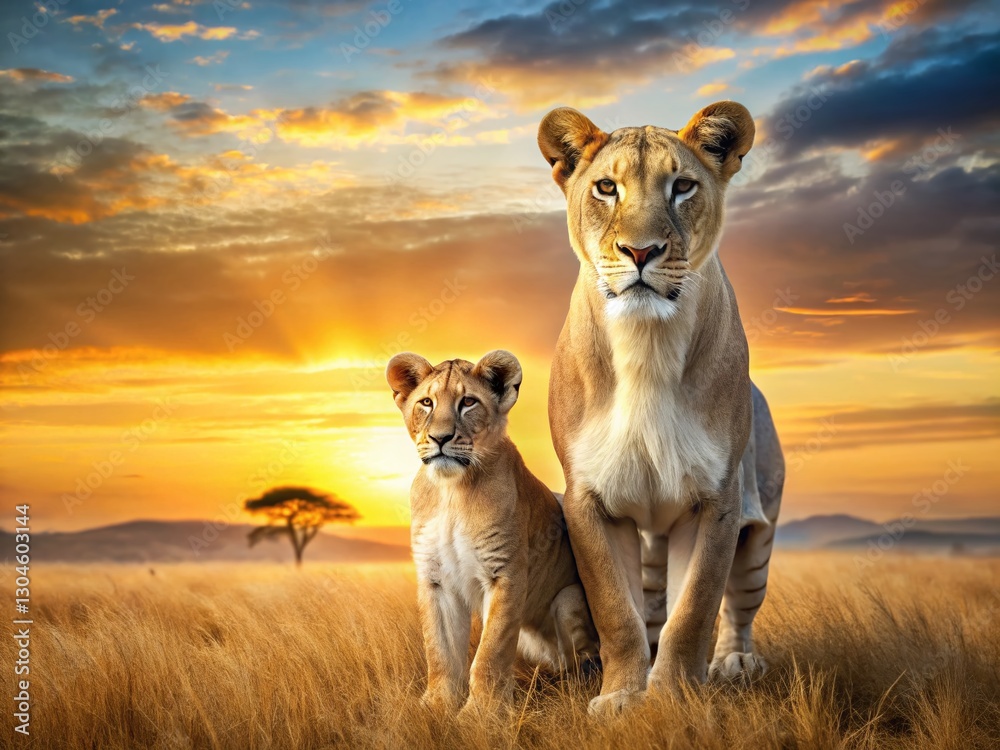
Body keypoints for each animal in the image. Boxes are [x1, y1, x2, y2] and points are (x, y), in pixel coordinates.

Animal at [386, 350, 598, 713]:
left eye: (468, 402)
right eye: (426, 403)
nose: (440, 438)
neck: (451, 491)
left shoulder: (505, 574)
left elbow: (490, 652)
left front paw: (481, 714)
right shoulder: (435, 579)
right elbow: (439, 650)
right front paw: (437, 706)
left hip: (568, 600)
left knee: (581, 662)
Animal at [536, 102, 784, 713]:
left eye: (683, 187)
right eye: (606, 187)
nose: (641, 251)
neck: (646, 343)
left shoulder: (716, 500)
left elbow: (694, 608)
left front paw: (672, 696)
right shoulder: (589, 500)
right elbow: (615, 611)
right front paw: (623, 696)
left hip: (758, 534)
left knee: (738, 607)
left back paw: (733, 663)